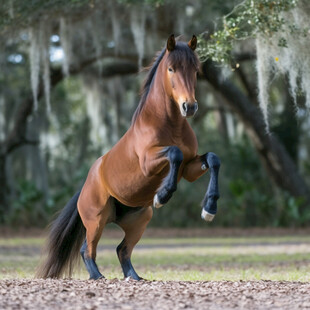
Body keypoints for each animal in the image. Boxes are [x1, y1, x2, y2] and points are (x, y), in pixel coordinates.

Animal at [37, 34, 220, 280]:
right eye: (171, 68)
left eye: (195, 70)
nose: (189, 106)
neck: (169, 125)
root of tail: (86, 185)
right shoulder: (148, 164)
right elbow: (175, 153)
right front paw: (162, 195)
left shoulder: (189, 169)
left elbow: (213, 159)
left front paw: (209, 209)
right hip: (96, 220)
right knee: (88, 249)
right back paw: (98, 276)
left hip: (139, 220)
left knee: (122, 249)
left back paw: (134, 277)